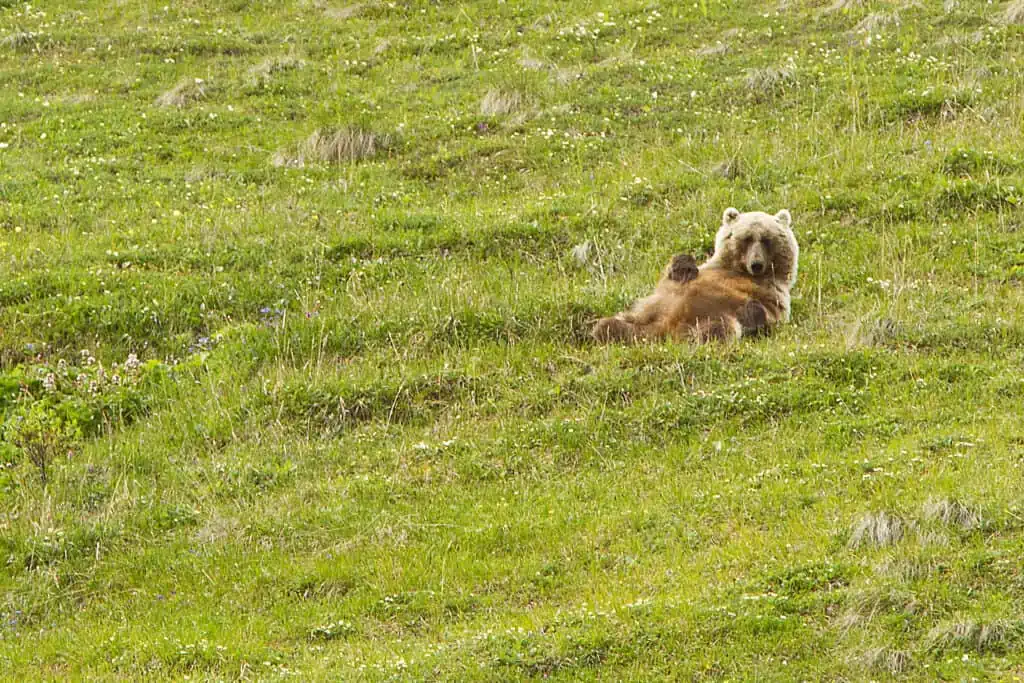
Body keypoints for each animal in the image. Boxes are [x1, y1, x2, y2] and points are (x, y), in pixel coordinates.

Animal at [593, 208, 798, 344]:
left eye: (766, 239)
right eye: (747, 238)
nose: (756, 264)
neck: (740, 272)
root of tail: (665, 331)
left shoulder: (773, 295)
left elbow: (766, 315)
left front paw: (752, 310)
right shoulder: (696, 277)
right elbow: (673, 275)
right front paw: (685, 264)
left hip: (712, 319)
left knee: (719, 329)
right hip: (649, 311)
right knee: (621, 321)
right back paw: (605, 329)